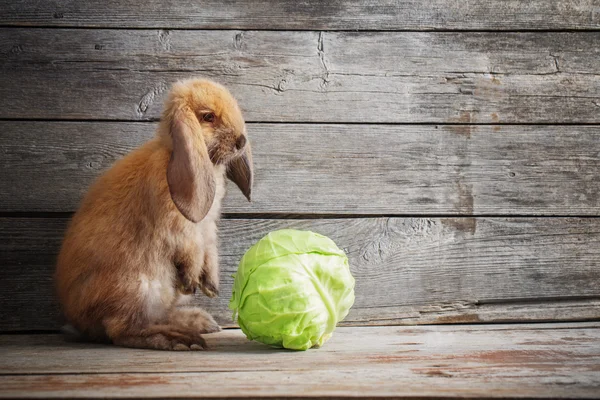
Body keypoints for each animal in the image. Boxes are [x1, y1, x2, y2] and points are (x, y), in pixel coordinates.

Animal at [54, 78, 253, 350]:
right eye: (208, 117)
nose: (241, 141)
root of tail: (79, 321)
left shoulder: (208, 228)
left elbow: (209, 252)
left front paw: (211, 286)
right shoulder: (181, 230)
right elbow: (191, 253)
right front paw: (194, 283)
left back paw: (198, 322)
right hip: (138, 287)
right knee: (123, 330)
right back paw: (180, 339)